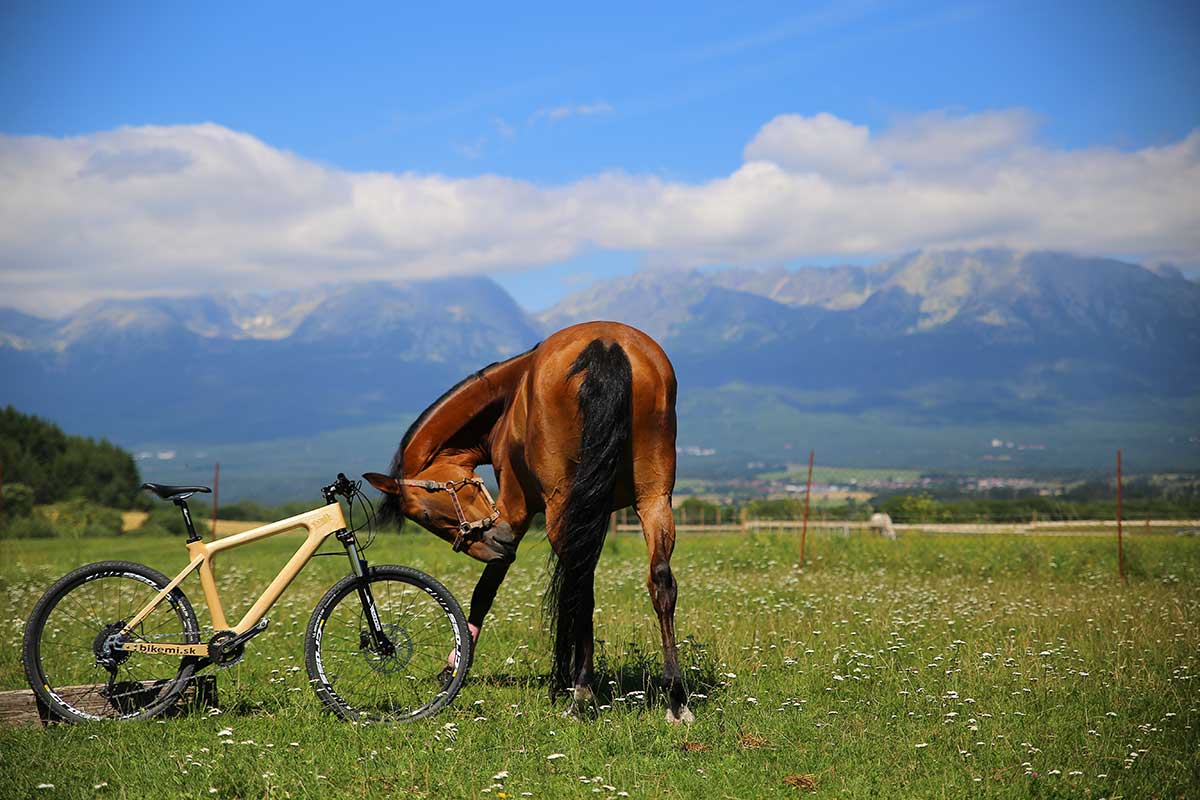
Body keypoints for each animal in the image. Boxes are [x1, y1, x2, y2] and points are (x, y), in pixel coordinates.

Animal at [360, 321, 696, 724]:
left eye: (425, 515)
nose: (499, 542)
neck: (508, 397)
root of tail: (606, 345)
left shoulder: (517, 510)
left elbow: (485, 592)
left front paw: (455, 666)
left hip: (562, 506)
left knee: (580, 587)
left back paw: (581, 693)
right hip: (654, 498)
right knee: (659, 581)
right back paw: (676, 697)